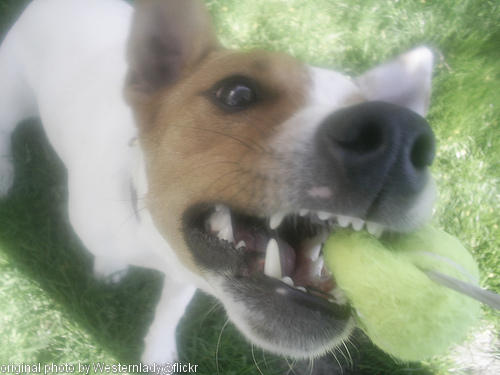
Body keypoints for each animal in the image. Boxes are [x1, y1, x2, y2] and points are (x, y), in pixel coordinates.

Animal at [0, 0, 438, 368]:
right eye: (237, 92)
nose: (400, 135)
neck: (152, 239)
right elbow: (106, 254)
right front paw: (110, 267)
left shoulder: (184, 275)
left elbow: (170, 311)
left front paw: (158, 352)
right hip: (11, 97)